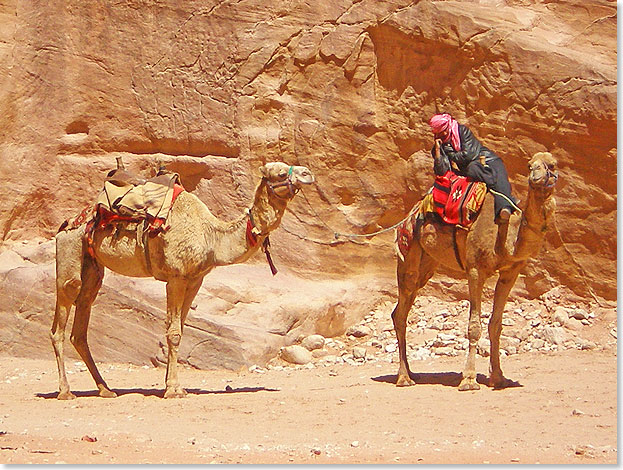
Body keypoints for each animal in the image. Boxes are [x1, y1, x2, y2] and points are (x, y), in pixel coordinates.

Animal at [52, 161, 316, 396]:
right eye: (280, 172)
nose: (307, 173)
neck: (212, 237)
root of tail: (66, 224)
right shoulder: (176, 277)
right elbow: (174, 334)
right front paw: (172, 390)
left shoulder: (195, 280)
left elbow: (178, 328)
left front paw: (175, 386)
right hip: (69, 255)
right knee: (60, 321)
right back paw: (66, 391)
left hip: (93, 268)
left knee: (81, 326)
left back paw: (106, 390)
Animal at [392, 151, 560, 390]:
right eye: (529, 165)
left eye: (552, 165)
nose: (536, 175)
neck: (506, 236)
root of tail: (406, 218)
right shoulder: (475, 270)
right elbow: (474, 326)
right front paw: (469, 379)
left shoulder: (510, 272)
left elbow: (495, 325)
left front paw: (498, 377)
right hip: (408, 255)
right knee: (400, 312)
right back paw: (404, 378)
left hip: (427, 262)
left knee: (402, 307)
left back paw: (410, 373)